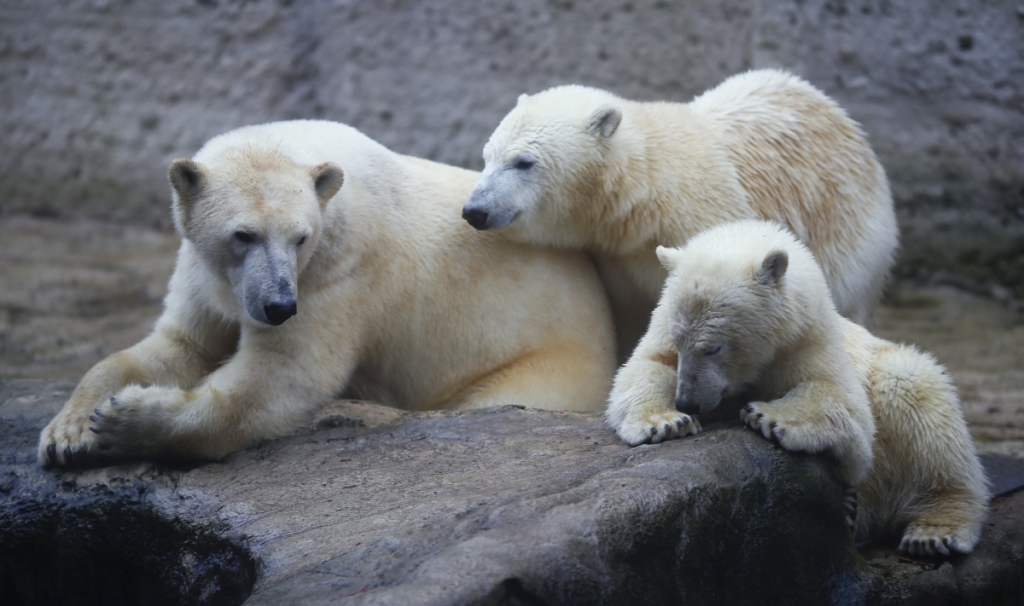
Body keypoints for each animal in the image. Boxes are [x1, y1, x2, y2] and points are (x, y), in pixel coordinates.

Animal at [37, 120, 614, 466]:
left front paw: (125, 421)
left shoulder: (336, 275)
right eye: (242, 235)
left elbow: (280, 378)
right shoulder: (207, 271)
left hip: (541, 369)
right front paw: (68, 431)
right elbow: (178, 346)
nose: (277, 307)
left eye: (300, 237)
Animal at [464, 69, 897, 358]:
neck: (645, 191)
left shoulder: (706, 222)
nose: (475, 210)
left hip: (852, 235)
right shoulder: (618, 259)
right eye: (487, 157)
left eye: (523, 162)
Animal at [606, 220, 991, 556]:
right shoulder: (662, 330)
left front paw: (768, 417)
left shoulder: (809, 339)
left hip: (894, 381)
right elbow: (647, 366)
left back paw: (933, 532)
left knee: (921, 409)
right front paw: (665, 422)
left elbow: (839, 397)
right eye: (679, 340)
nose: (687, 402)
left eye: (713, 347)